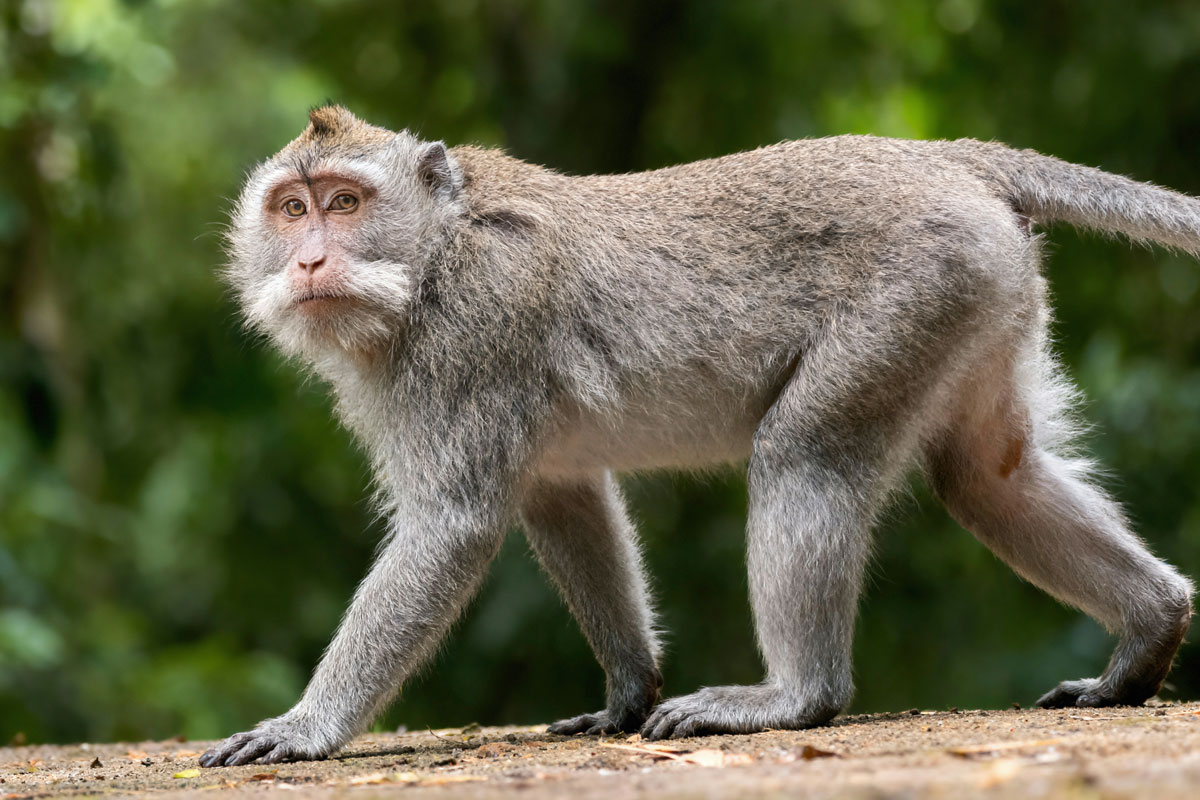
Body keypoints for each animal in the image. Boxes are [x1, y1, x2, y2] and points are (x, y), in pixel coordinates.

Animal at [200, 105, 1194, 766]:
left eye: (345, 202)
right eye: (291, 210)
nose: (310, 259)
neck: (436, 251)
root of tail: (945, 160)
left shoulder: (472, 336)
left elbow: (454, 525)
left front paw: (305, 727)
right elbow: (564, 501)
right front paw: (625, 693)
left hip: (914, 288)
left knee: (805, 454)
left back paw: (794, 698)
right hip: (980, 291)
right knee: (987, 477)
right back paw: (1149, 632)